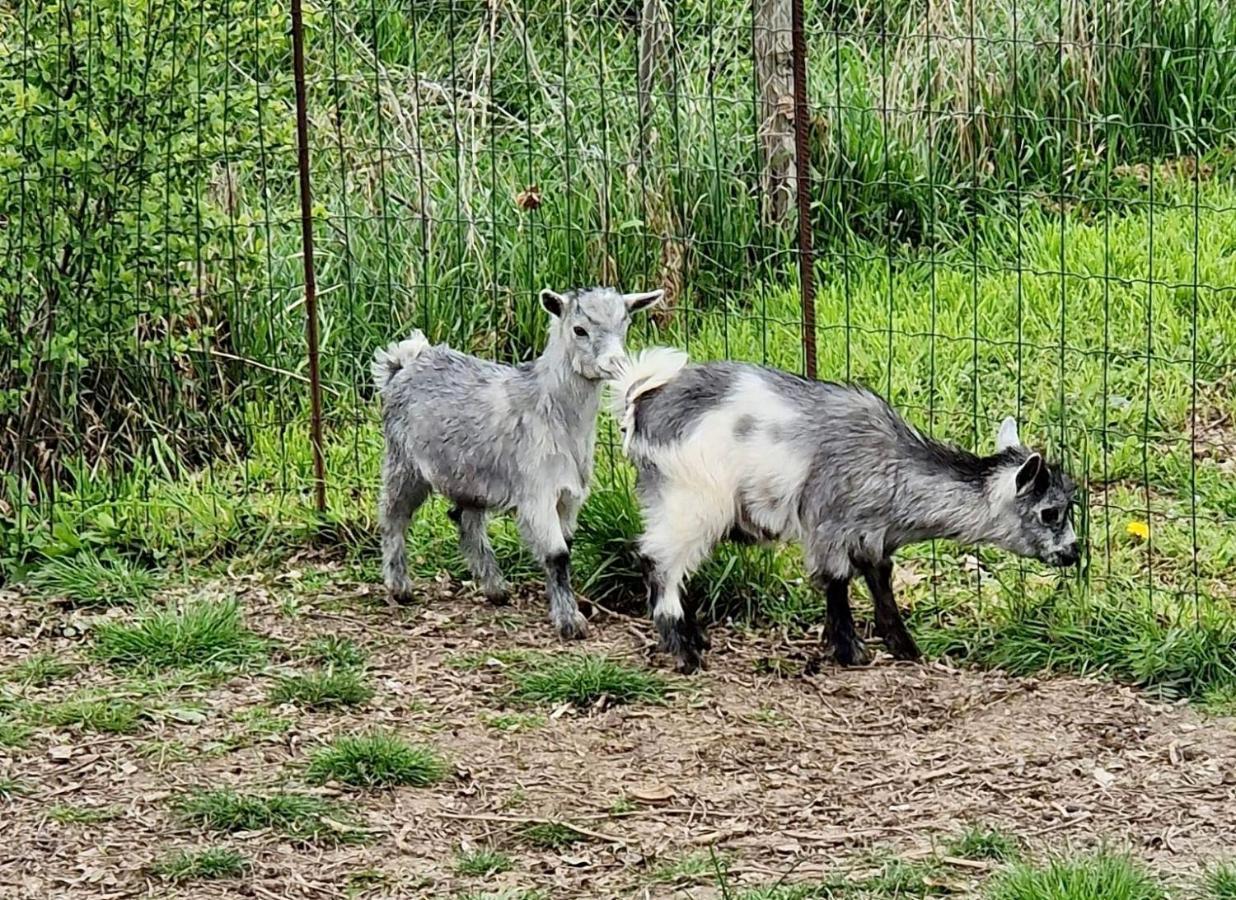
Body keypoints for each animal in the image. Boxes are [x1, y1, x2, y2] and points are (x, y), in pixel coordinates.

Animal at [370, 284, 662, 637]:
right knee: (393, 516)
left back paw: (495, 589)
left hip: (469, 477)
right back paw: (400, 586)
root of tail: (404, 363)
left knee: (464, 519)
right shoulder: (537, 492)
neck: (551, 410)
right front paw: (570, 622)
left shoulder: (569, 496)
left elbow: (566, 548)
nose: (615, 362)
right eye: (579, 329)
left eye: (625, 325)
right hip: (404, 462)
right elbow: (557, 555)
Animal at [613, 348, 1077, 672]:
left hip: (665, 496)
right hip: (692, 498)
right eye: (1051, 512)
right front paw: (851, 651)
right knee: (659, 562)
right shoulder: (828, 524)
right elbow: (836, 580)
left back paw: (696, 638)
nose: (1073, 554)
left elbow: (879, 578)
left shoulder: (872, 535)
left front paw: (904, 647)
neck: (891, 465)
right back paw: (686, 653)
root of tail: (642, 405)